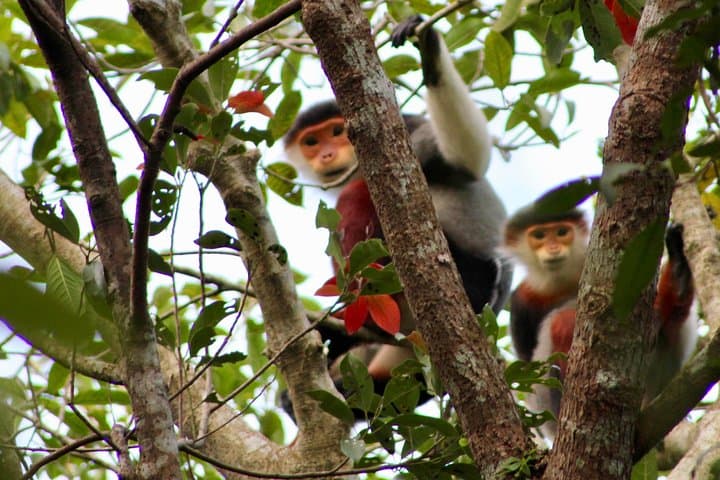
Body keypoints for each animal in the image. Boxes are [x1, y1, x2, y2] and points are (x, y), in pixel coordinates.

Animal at [281, 16, 513, 416]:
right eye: (312, 142)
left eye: (336, 132)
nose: (326, 155)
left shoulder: (408, 131)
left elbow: (465, 163)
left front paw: (431, 53)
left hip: (473, 281)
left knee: (358, 196)